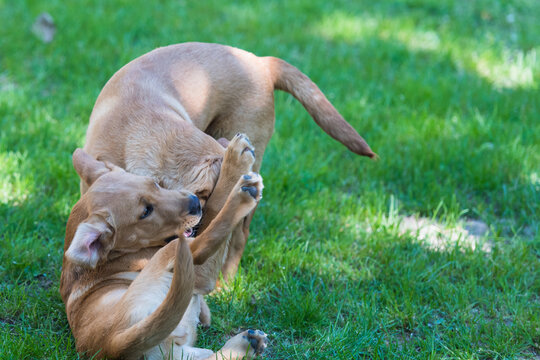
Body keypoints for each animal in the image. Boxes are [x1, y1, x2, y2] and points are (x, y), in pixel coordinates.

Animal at [60, 145, 266, 358]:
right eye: (145, 212)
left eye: (154, 183)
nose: (195, 203)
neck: (119, 255)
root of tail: (114, 342)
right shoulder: (199, 276)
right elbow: (215, 208)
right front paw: (236, 162)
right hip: (176, 257)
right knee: (209, 235)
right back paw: (243, 194)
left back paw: (247, 343)